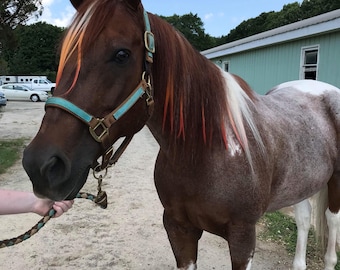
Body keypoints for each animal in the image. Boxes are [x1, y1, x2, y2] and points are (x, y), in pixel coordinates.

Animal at [21, 1, 340, 268]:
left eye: (121, 54)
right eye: (63, 56)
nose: (40, 165)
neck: (206, 151)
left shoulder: (243, 238)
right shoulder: (179, 229)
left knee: (330, 231)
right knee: (303, 220)